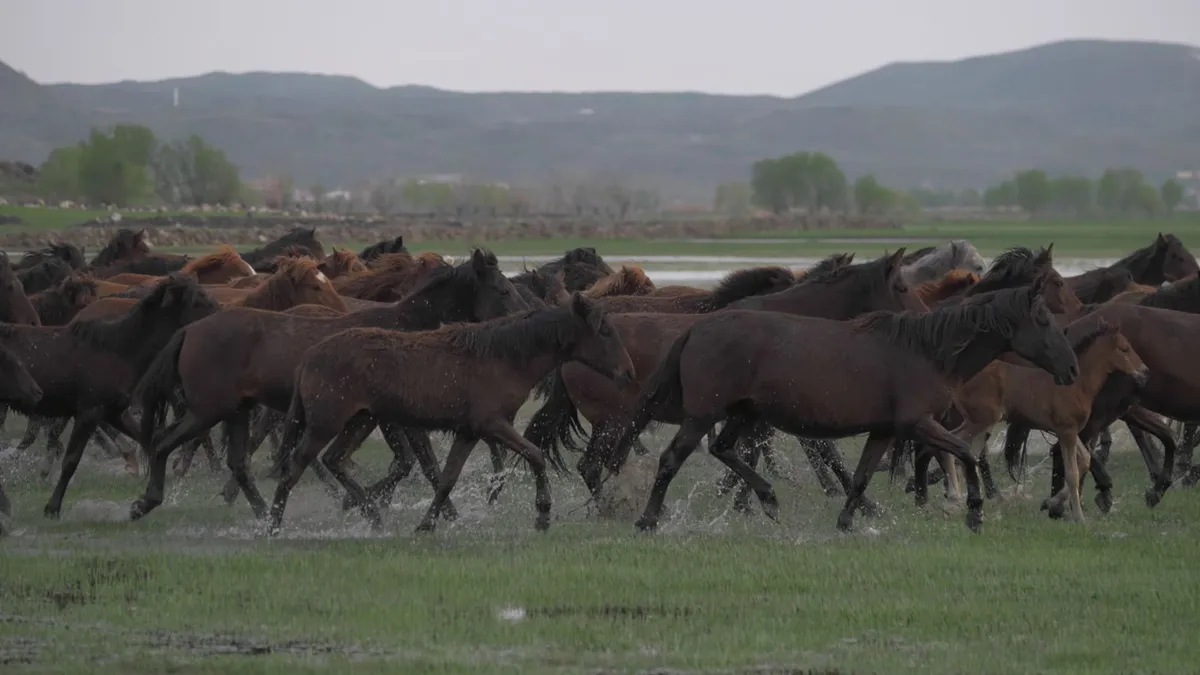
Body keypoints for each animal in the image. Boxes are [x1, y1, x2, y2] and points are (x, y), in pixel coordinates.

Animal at [127, 249, 528, 522]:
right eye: (502, 289)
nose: (526, 317)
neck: (405, 330)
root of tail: (189, 331)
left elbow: (414, 463)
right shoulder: (394, 418)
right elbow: (422, 463)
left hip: (236, 411)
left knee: (239, 463)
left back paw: (262, 512)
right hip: (208, 410)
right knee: (163, 443)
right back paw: (145, 502)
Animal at [266, 292, 636, 535]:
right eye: (605, 331)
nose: (628, 373)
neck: (504, 357)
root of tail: (309, 358)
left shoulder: (469, 432)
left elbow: (446, 479)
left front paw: (427, 524)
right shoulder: (492, 425)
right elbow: (535, 455)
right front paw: (543, 514)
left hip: (361, 421)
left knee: (334, 461)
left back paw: (372, 515)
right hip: (324, 425)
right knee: (293, 470)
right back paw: (270, 527)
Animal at [613, 277, 1079, 534]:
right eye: (1042, 320)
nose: (1072, 368)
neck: (926, 351)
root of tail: (696, 329)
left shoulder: (886, 430)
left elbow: (859, 478)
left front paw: (847, 522)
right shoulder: (917, 423)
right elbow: (964, 451)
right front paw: (974, 513)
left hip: (743, 414)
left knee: (723, 450)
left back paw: (768, 498)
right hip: (704, 415)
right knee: (672, 459)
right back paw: (648, 519)